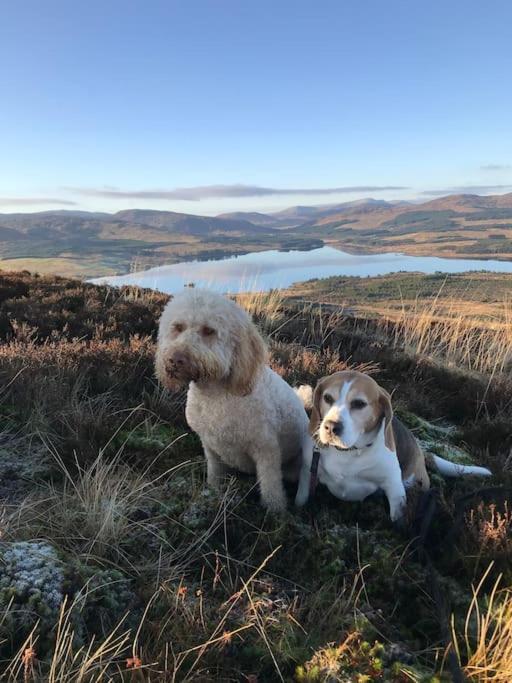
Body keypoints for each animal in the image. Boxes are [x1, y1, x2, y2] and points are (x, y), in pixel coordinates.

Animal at [156, 286, 308, 510]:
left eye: (209, 330)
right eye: (178, 327)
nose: (174, 360)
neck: (214, 395)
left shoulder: (267, 450)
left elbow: (270, 486)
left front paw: (275, 511)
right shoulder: (210, 446)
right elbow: (214, 474)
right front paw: (213, 492)